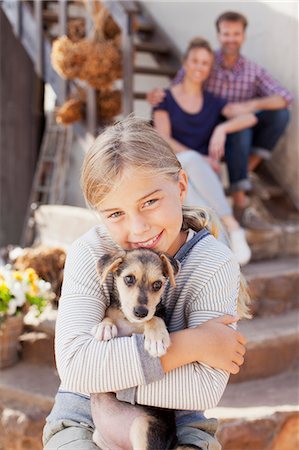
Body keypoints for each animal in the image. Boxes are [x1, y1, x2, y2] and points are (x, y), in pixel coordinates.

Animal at [91, 250, 197, 450]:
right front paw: (104, 327)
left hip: (144, 427)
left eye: (157, 284)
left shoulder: (156, 316)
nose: (140, 312)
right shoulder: (115, 312)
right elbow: (108, 314)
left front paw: (156, 338)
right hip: (99, 437)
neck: (129, 321)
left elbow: (155, 318)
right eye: (129, 279)